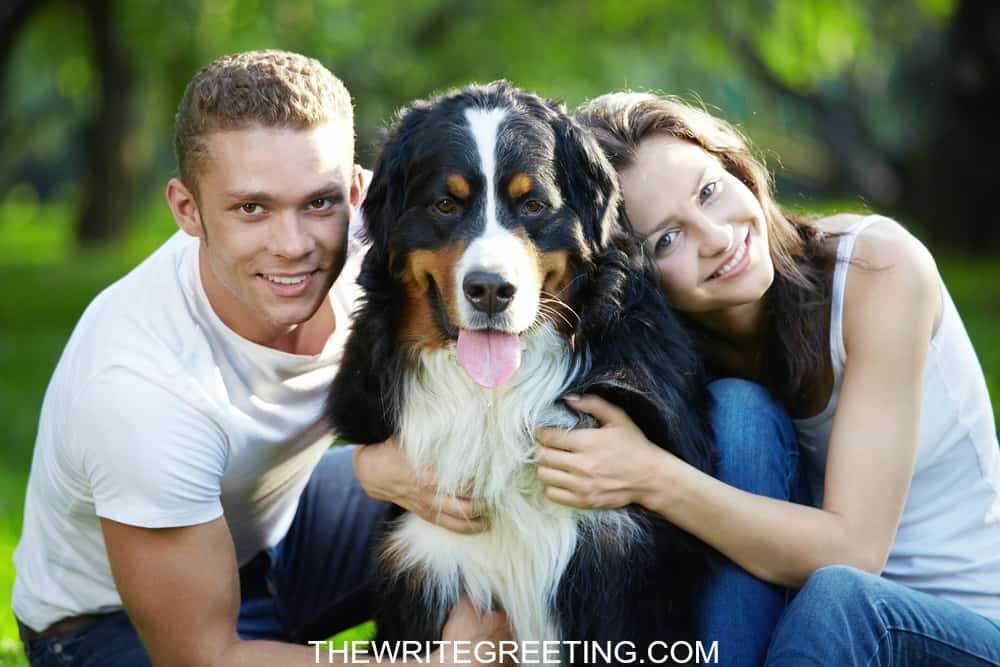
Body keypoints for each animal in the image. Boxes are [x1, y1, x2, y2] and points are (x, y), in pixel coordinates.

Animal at [328, 81, 720, 664]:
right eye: (446, 204)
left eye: (533, 205)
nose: (491, 290)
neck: (494, 401)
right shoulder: (424, 561)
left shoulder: (615, 559)